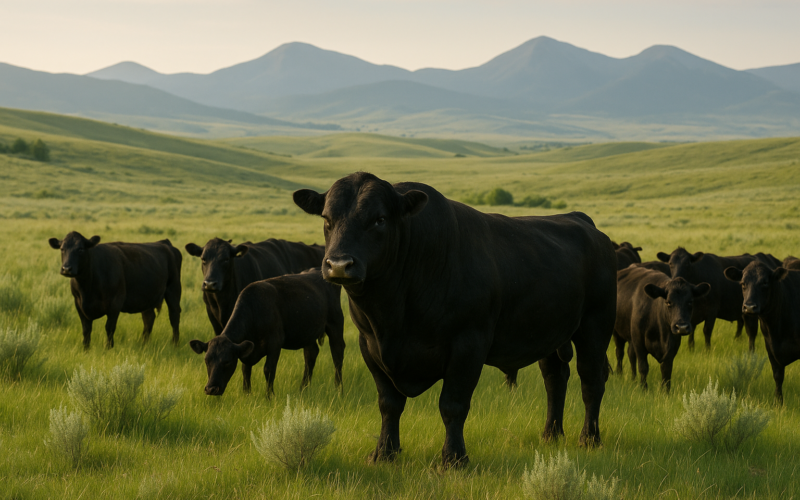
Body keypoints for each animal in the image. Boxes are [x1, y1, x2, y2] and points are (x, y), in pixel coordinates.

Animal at [48, 231, 182, 349]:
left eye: (80, 249)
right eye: (62, 249)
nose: (66, 269)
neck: (87, 288)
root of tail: (164, 243)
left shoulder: (115, 302)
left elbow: (109, 327)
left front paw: (109, 348)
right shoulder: (79, 304)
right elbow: (86, 330)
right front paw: (85, 349)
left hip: (173, 289)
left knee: (174, 316)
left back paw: (175, 344)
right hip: (147, 296)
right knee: (149, 318)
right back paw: (144, 344)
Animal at [189, 269, 345, 397]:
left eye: (227, 361)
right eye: (206, 360)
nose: (211, 389)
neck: (254, 311)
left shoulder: (275, 343)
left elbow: (268, 369)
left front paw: (269, 396)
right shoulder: (248, 349)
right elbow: (246, 370)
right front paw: (247, 394)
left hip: (335, 323)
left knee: (337, 354)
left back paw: (338, 390)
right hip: (307, 331)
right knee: (311, 354)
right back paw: (303, 389)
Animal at [293, 171, 617, 468]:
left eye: (380, 219)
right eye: (326, 219)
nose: (339, 265)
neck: (394, 314)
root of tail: (580, 220)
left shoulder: (468, 345)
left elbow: (453, 405)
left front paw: (453, 458)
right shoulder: (370, 346)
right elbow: (389, 404)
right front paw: (384, 453)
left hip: (595, 326)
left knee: (591, 381)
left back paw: (589, 438)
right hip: (549, 333)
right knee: (555, 380)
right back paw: (551, 434)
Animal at [724, 262, 800, 404]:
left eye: (765, 282)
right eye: (743, 283)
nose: (749, 307)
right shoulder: (770, 347)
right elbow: (778, 376)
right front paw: (778, 403)